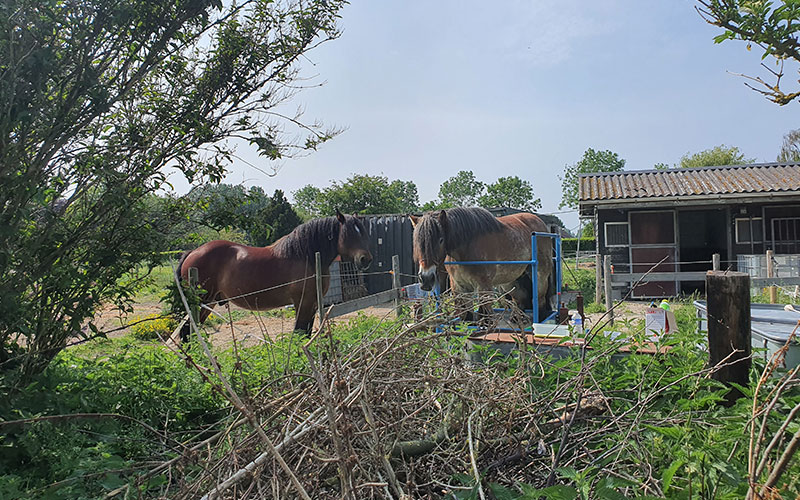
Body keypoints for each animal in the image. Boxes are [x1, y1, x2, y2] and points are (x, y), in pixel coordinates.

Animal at [177, 209, 370, 338]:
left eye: (363, 232)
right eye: (349, 233)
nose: (365, 259)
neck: (305, 256)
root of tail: (192, 252)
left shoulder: (313, 305)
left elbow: (306, 334)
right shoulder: (303, 304)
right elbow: (299, 334)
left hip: (207, 305)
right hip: (201, 302)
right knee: (187, 332)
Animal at [410, 207, 552, 320]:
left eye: (440, 240)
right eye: (417, 242)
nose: (425, 279)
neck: (466, 249)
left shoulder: (484, 285)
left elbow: (485, 310)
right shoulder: (459, 285)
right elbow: (466, 313)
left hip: (539, 273)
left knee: (539, 297)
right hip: (510, 279)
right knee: (519, 298)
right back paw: (516, 318)